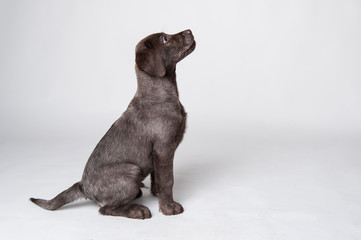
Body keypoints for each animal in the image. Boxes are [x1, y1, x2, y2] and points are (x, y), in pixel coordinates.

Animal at [29, 29, 195, 219]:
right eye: (165, 39)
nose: (189, 30)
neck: (159, 93)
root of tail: (83, 187)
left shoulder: (157, 153)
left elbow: (157, 177)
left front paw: (156, 194)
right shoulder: (164, 148)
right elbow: (167, 180)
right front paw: (169, 207)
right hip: (132, 171)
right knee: (105, 209)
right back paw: (137, 210)